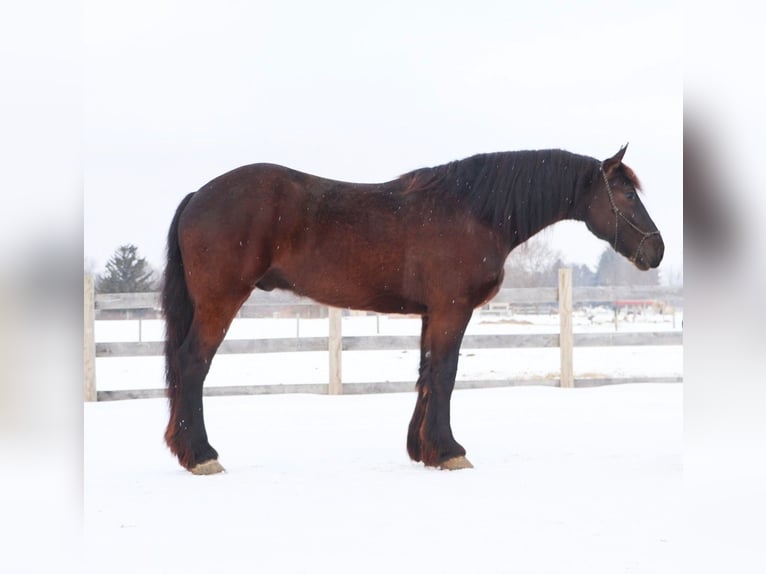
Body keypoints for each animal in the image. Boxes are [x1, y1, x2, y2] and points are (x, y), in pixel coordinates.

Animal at [161, 144, 664, 474]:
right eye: (627, 195)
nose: (656, 251)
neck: (473, 211)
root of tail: (197, 196)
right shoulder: (451, 310)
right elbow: (444, 373)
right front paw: (449, 451)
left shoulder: (430, 313)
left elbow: (425, 373)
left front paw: (423, 450)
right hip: (221, 300)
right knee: (193, 364)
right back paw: (202, 455)